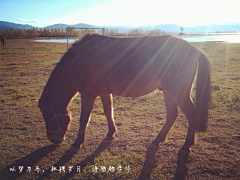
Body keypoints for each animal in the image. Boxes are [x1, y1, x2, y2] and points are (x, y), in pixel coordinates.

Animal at [38, 34, 211, 153]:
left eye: (49, 116)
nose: (54, 140)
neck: (80, 60)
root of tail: (194, 49)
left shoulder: (88, 94)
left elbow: (84, 118)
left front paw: (78, 142)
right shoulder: (104, 92)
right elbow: (108, 112)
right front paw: (111, 133)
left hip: (178, 91)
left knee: (191, 114)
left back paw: (187, 145)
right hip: (169, 91)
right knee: (172, 115)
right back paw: (157, 141)